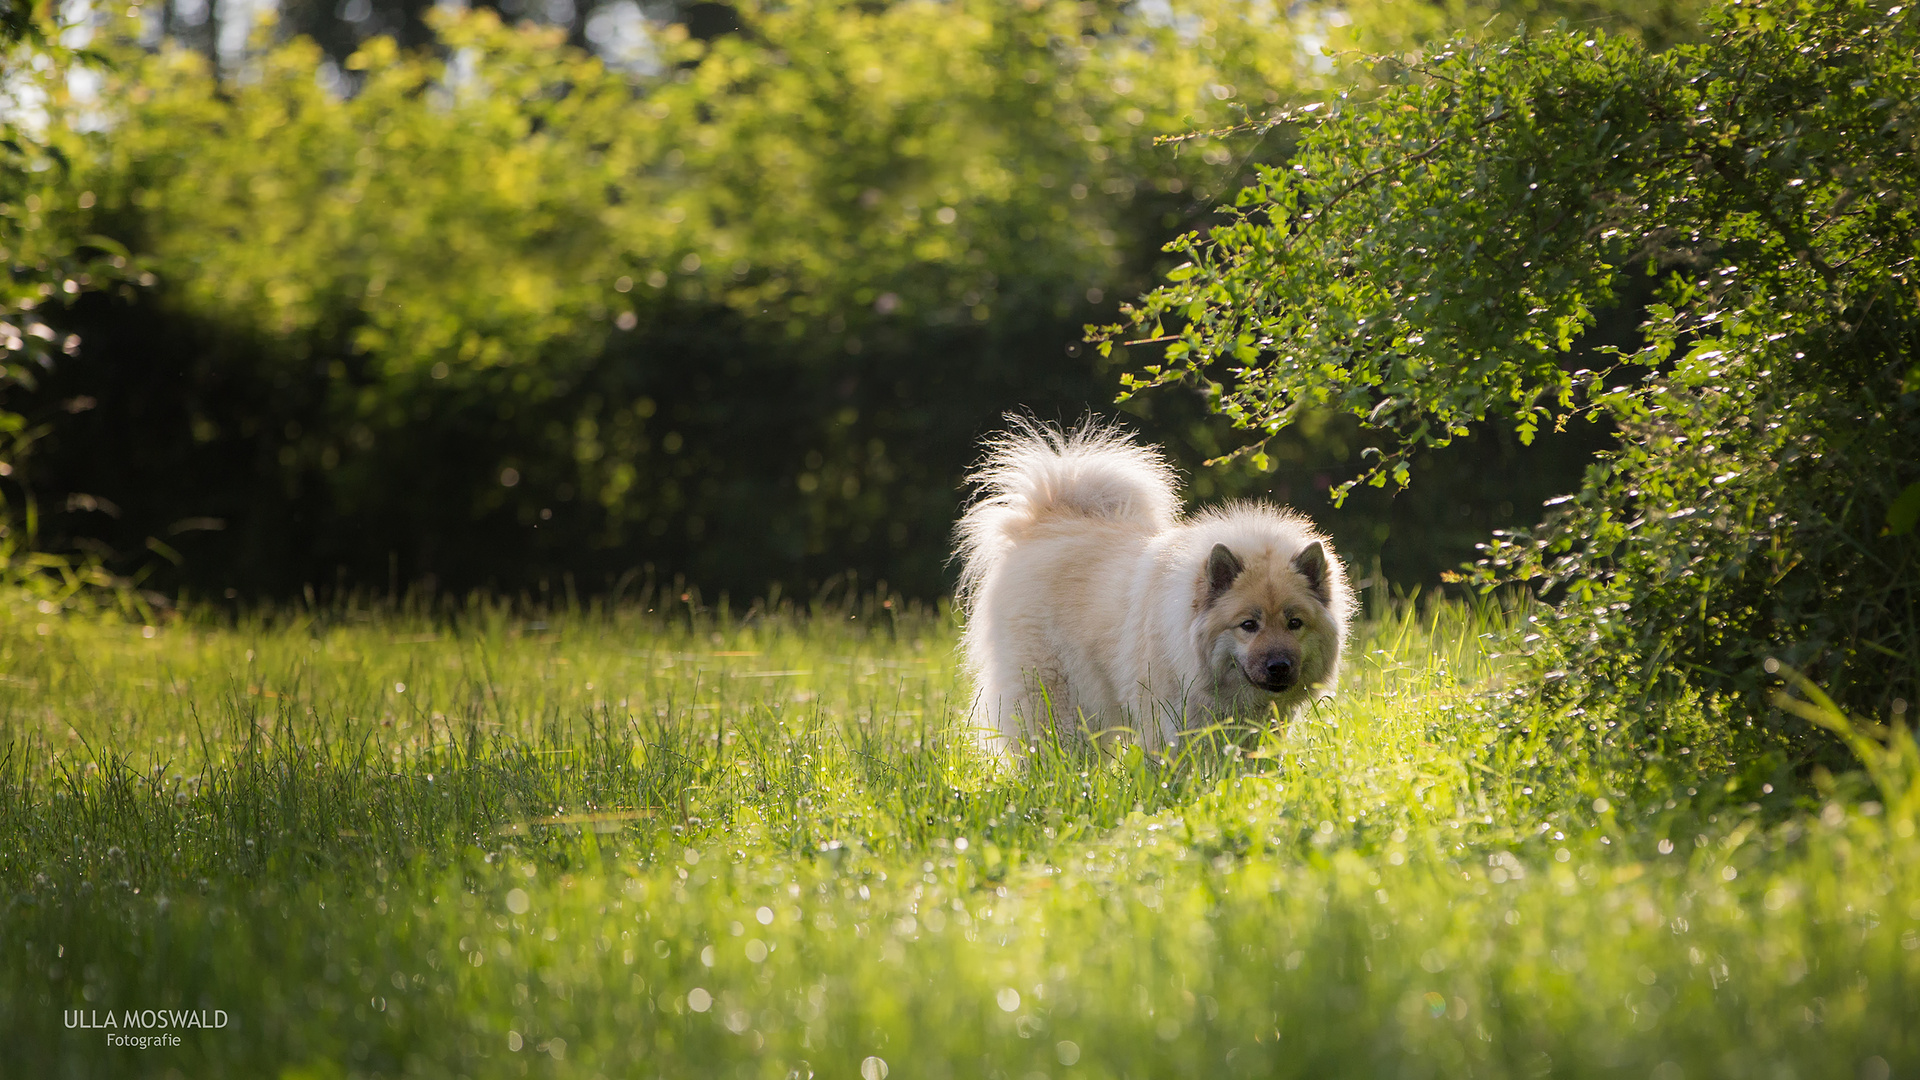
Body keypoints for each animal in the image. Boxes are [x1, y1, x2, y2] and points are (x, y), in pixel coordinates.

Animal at [956, 417, 1351, 753]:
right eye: (1248, 625)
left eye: (1295, 623)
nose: (1279, 666)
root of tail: (1048, 522)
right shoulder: (1170, 722)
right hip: (1057, 697)